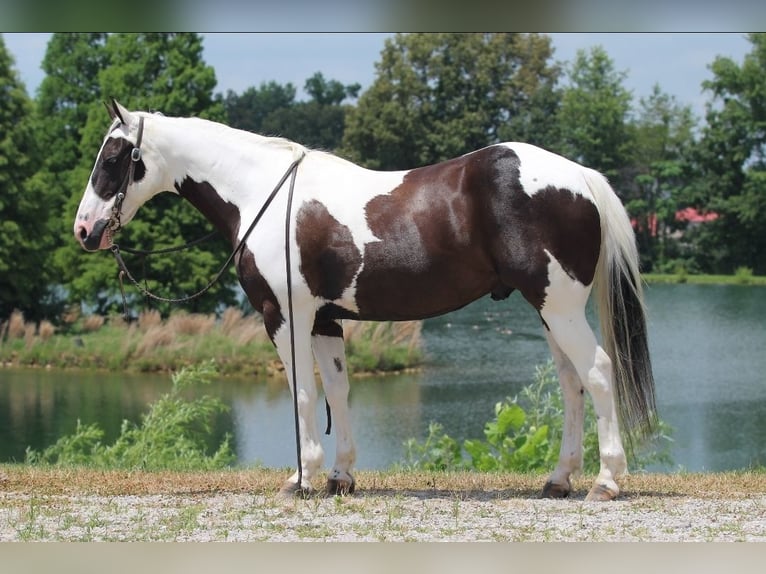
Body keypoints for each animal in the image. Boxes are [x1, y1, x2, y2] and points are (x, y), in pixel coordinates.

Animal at [74, 100, 656, 501]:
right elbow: (337, 390)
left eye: (114, 156)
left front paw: (301, 479)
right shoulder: (325, 321)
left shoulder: (284, 317)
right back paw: (559, 480)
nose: (85, 229)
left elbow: (303, 394)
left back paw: (606, 481)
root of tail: (579, 176)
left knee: (598, 372)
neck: (262, 194)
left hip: (560, 308)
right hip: (549, 310)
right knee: (571, 383)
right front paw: (339, 477)